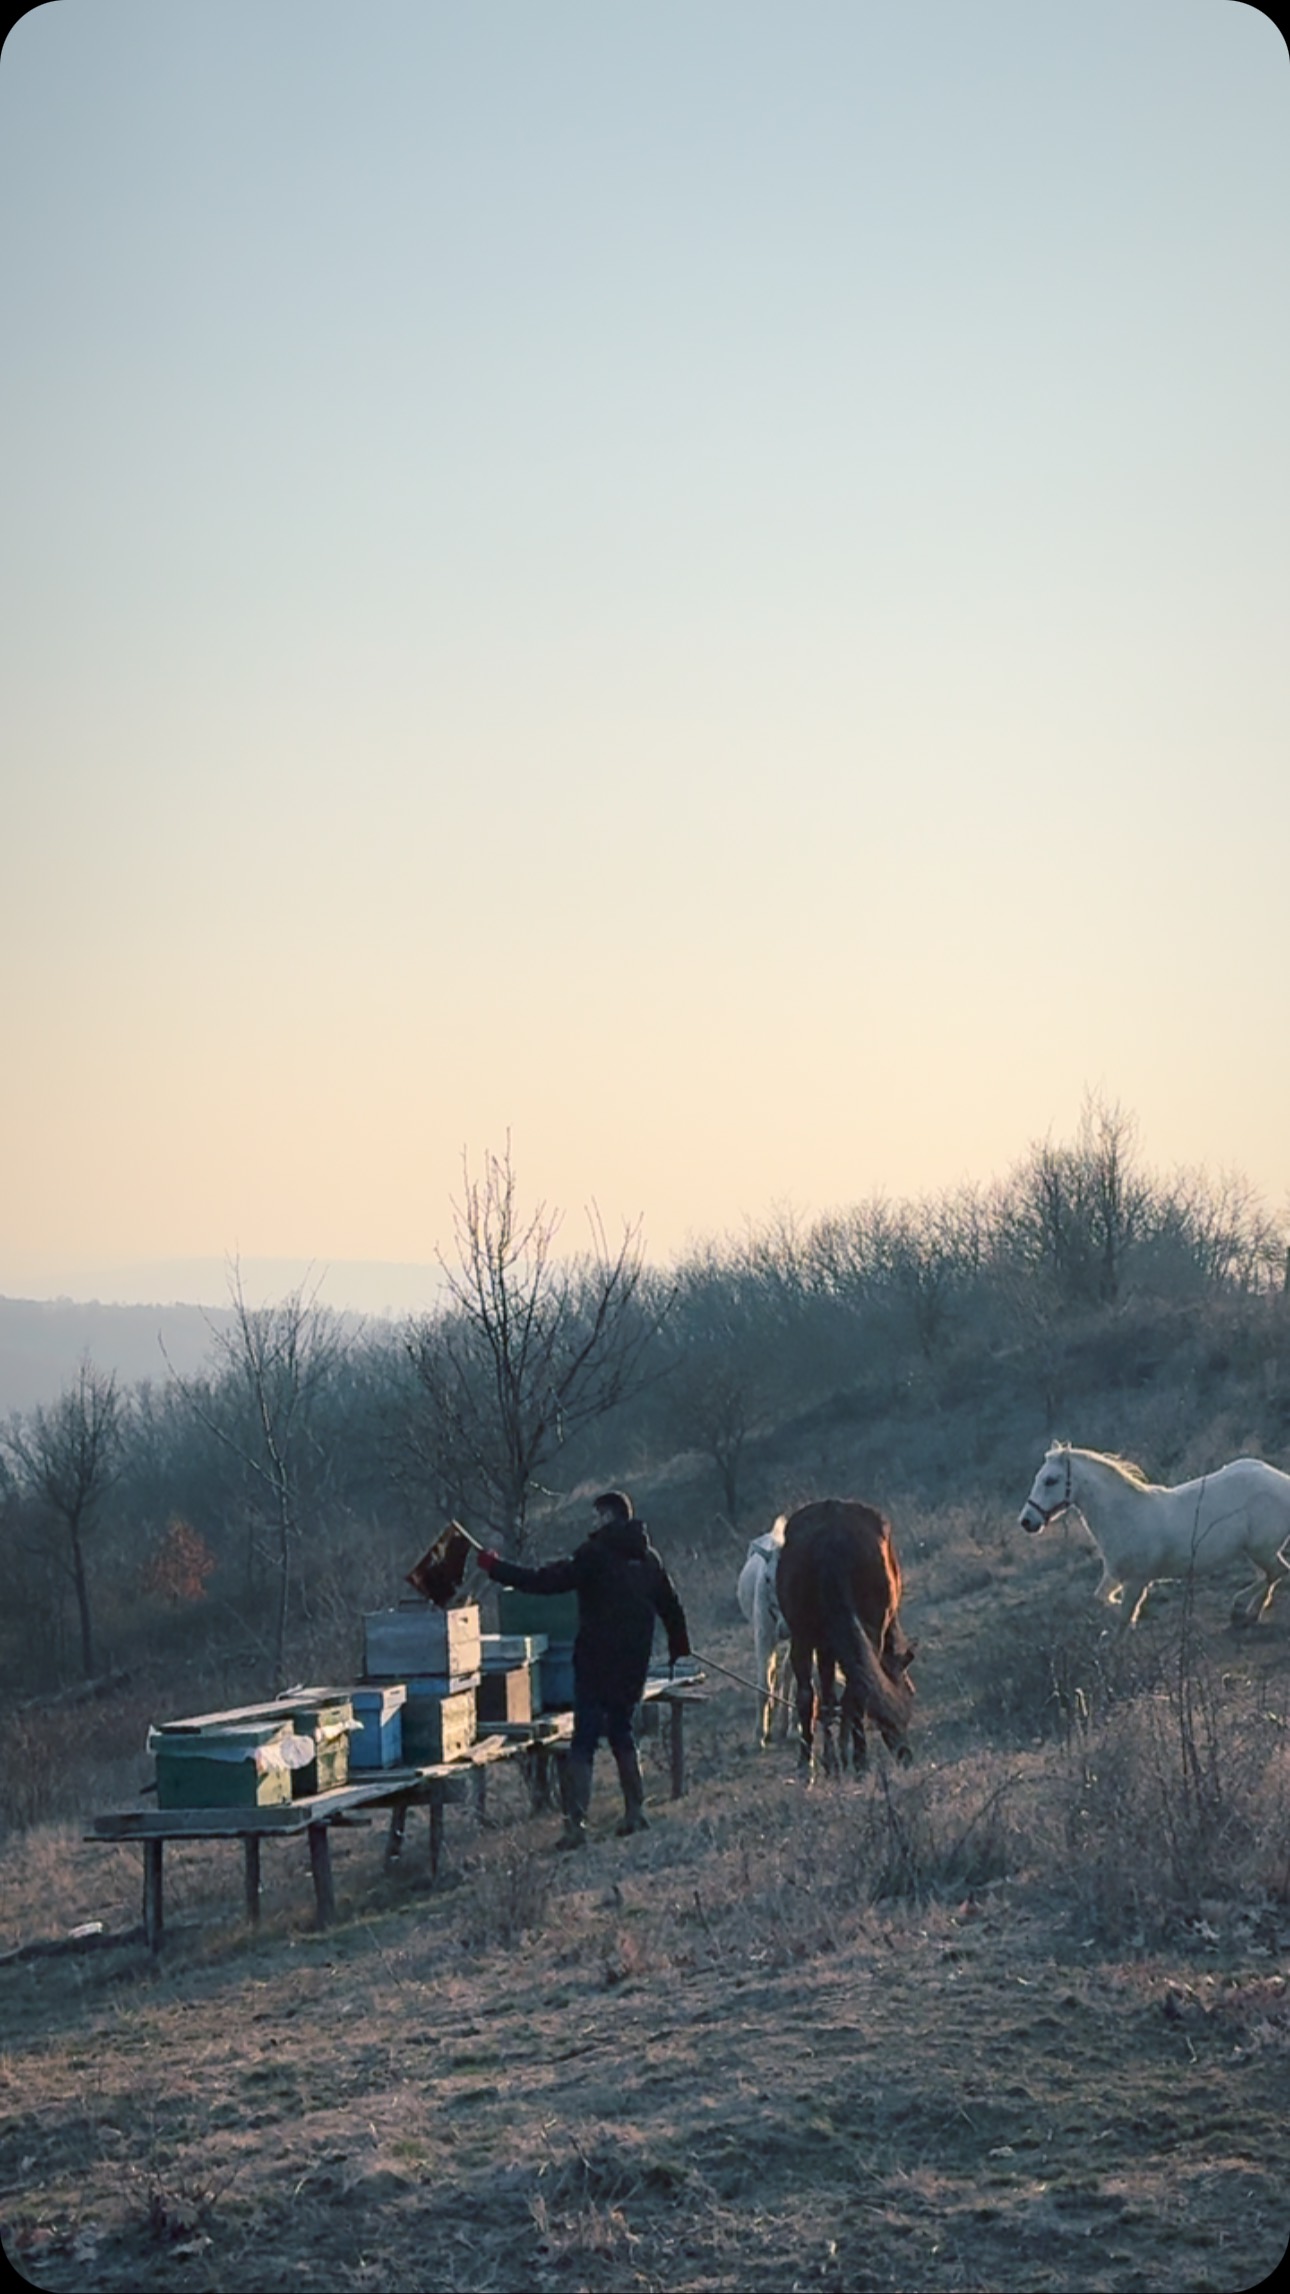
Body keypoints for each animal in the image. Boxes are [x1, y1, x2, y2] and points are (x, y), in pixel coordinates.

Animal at [775, 1499, 916, 1775]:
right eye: (909, 1694)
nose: (906, 1755)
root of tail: (831, 1541)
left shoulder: (826, 1646)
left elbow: (830, 1699)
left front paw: (834, 1759)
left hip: (804, 1637)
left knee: (808, 1695)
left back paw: (810, 1764)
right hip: (864, 1632)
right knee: (850, 1691)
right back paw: (856, 1760)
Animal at [1018, 1443, 1290, 1628]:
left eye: (1051, 1480)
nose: (1027, 1521)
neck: (1127, 1515)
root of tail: (1283, 1482)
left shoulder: (1137, 1581)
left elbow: (1124, 1619)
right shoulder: (1115, 1575)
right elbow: (1101, 1599)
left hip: (1261, 1550)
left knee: (1277, 1572)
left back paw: (1239, 1607)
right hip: (1256, 1552)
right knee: (1269, 1576)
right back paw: (1249, 1613)